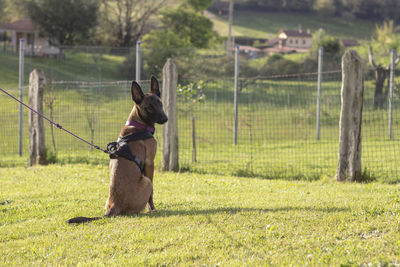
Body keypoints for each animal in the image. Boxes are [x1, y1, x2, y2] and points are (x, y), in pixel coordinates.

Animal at [68, 76, 168, 224]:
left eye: (160, 103)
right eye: (149, 107)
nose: (165, 119)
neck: (138, 125)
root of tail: (113, 208)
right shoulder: (150, 163)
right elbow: (152, 195)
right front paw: (152, 209)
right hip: (147, 182)